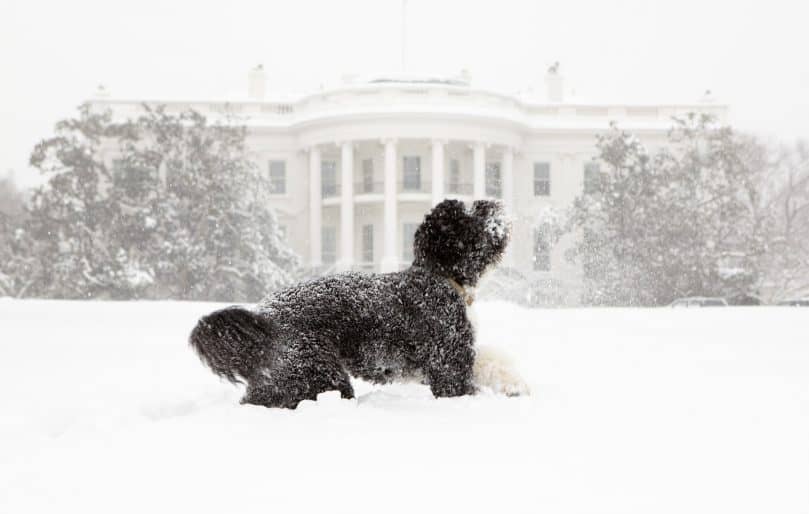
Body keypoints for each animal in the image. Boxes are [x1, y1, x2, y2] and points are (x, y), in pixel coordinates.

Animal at [193, 198, 528, 406]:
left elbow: (488, 360)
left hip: (286, 376)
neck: (438, 276)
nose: (490, 203)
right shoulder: (447, 361)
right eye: (468, 217)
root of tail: (264, 317)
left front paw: (513, 383)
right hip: (316, 372)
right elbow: (459, 385)